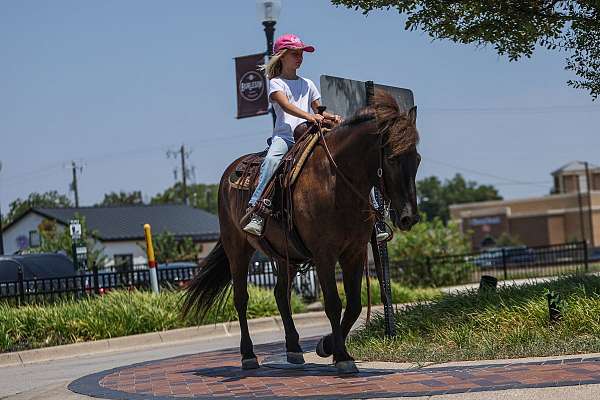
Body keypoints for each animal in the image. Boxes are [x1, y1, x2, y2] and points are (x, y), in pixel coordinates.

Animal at [183, 90, 422, 372]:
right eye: (392, 158)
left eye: (417, 159)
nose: (409, 217)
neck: (336, 181)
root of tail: (229, 173)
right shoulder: (324, 254)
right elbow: (333, 303)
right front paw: (341, 356)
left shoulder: (354, 252)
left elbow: (353, 305)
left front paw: (327, 346)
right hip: (237, 249)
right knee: (241, 299)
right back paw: (248, 355)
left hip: (285, 256)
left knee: (280, 294)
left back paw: (294, 349)